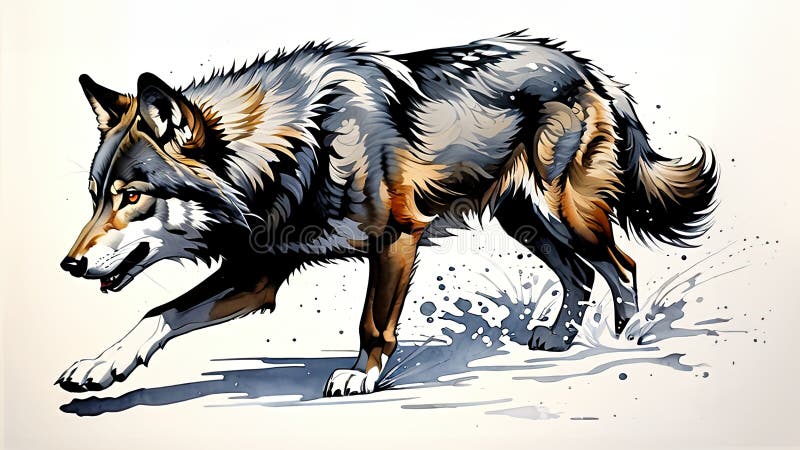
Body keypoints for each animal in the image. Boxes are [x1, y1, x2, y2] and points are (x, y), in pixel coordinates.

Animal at [58, 31, 718, 396]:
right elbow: (159, 313)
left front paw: (361, 377)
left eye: (131, 196)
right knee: (580, 274)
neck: (298, 146)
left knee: (621, 265)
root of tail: (590, 71)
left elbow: (373, 323)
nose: (69, 265)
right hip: (526, 221)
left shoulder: (397, 239)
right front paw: (102, 367)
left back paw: (629, 338)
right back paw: (558, 337)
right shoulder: (258, 273)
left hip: (564, 214)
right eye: (95, 195)